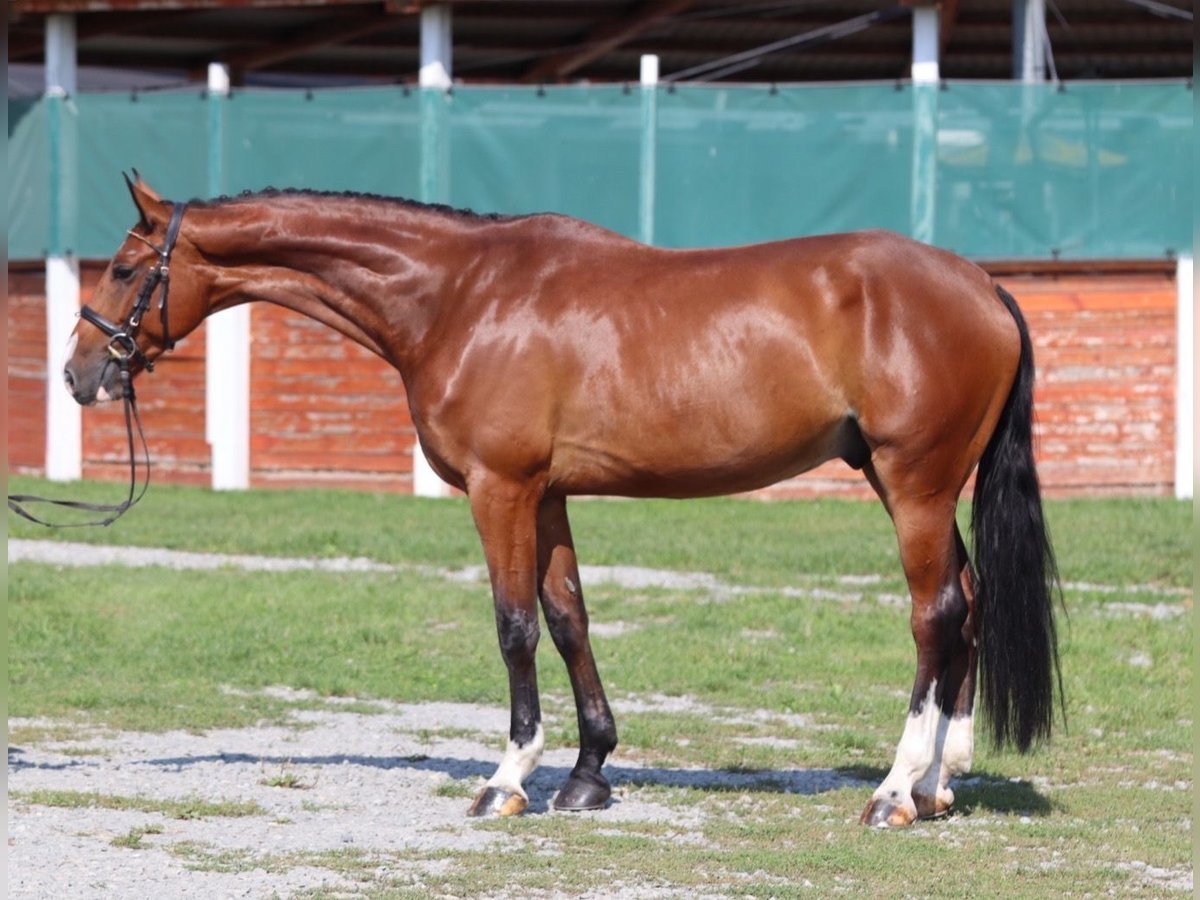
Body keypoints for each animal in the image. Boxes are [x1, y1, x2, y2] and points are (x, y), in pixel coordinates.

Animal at [65, 176, 1060, 830]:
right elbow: (568, 617)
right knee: (969, 607)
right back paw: (939, 783)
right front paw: (587, 775)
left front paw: (507, 779)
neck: (460, 297)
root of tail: (982, 284)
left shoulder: (499, 490)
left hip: (914, 484)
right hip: (919, 487)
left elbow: (513, 626)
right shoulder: (546, 495)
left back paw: (895, 791)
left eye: (123, 268)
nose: (80, 375)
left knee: (935, 615)